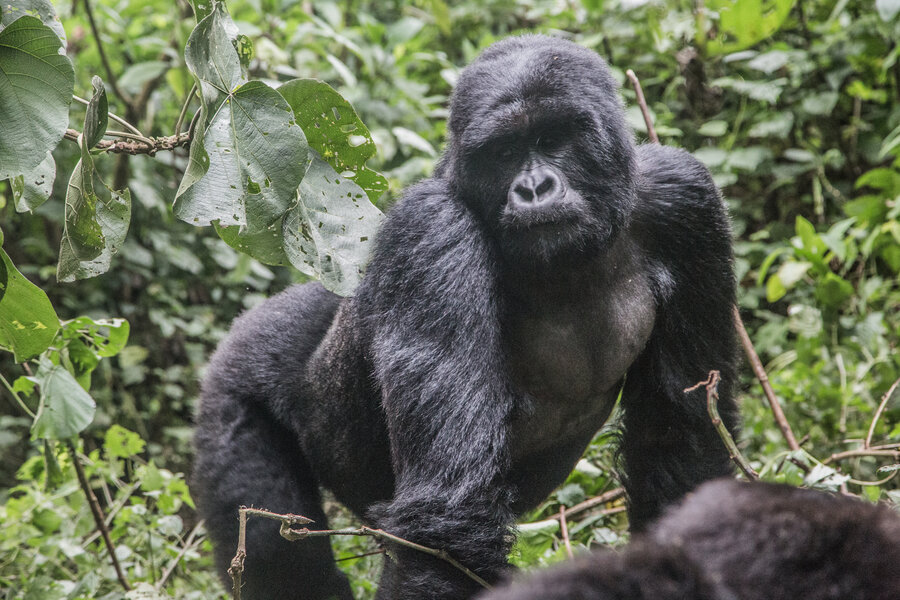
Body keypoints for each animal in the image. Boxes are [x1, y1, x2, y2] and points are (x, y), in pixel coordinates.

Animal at [190, 34, 740, 600]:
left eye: (553, 139)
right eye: (504, 152)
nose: (535, 189)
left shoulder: (683, 198)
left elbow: (682, 441)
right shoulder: (432, 231)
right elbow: (447, 517)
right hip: (233, 383)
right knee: (275, 552)